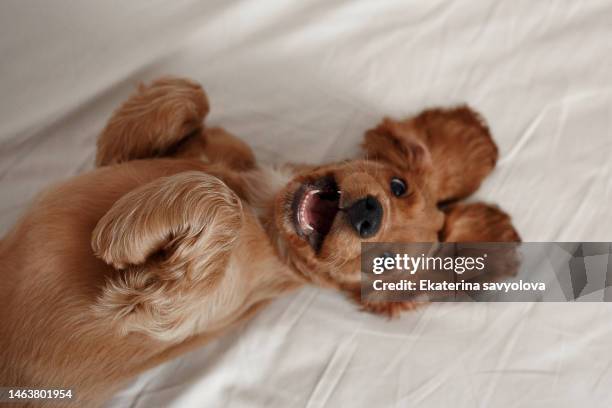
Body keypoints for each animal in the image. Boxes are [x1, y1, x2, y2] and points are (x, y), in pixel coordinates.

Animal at [0, 78, 520, 406]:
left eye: (386, 261)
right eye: (398, 186)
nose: (369, 214)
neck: (267, 208)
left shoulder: (155, 310)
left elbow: (219, 202)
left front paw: (123, 231)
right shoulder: (136, 154)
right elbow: (189, 94)